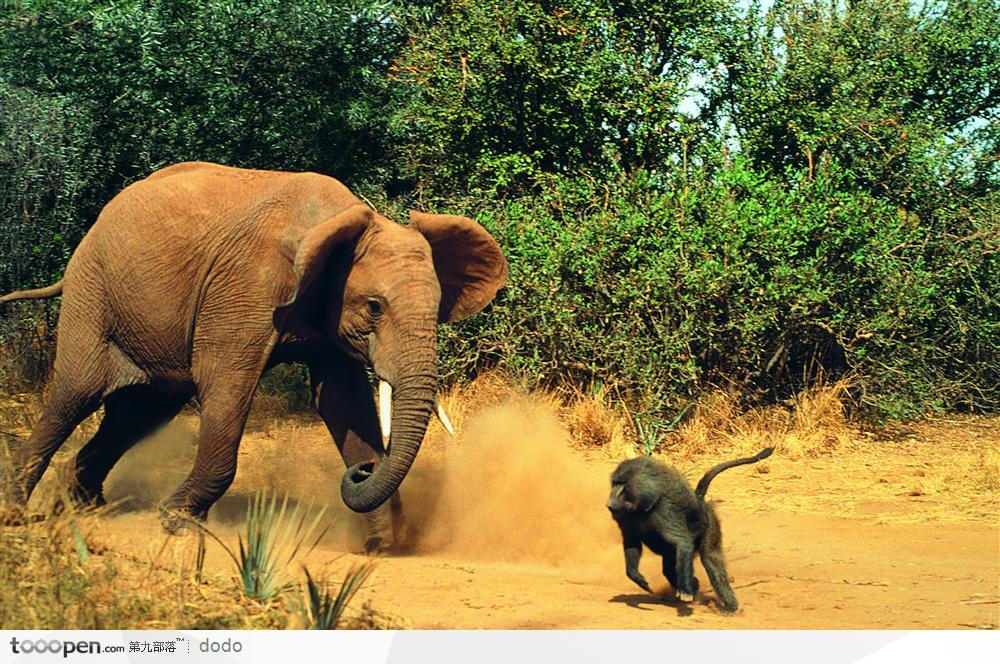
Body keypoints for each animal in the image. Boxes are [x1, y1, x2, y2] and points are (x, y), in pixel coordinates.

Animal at [0, 161, 504, 548]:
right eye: (375, 307)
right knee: (74, 397)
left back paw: (86, 507)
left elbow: (342, 401)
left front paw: (381, 544)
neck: (333, 222)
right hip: (93, 291)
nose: (363, 472)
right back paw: (18, 511)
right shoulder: (245, 287)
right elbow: (226, 383)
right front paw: (177, 521)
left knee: (139, 413)